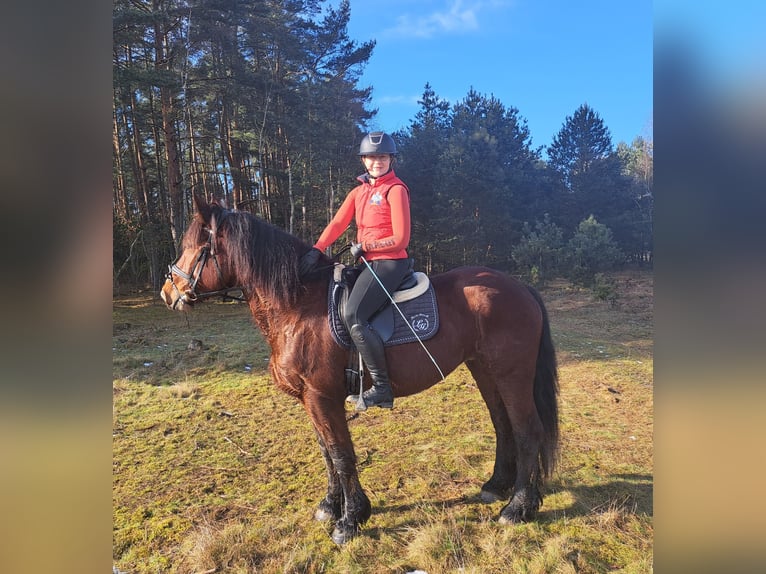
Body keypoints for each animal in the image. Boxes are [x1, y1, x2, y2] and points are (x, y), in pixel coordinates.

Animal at [162, 196, 560, 548]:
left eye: (196, 246)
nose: (168, 291)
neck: (298, 305)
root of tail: (519, 286)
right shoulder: (311, 400)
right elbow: (326, 450)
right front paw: (330, 506)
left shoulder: (322, 397)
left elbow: (341, 454)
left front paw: (351, 519)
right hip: (485, 371)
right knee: (503, 426)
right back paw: (495, 486)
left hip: (511, 374)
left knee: (527, 431)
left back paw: (518, 508)